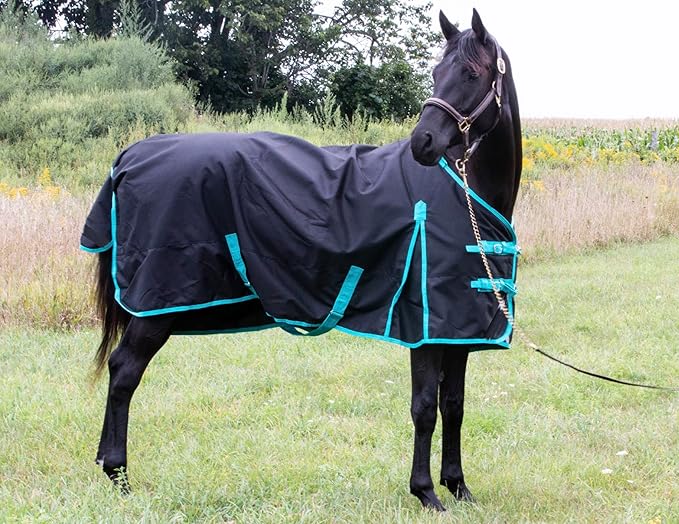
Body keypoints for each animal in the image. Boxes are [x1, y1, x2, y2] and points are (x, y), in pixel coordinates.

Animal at [83, 9, 521, 512]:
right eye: (434, 73)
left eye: (470, 74)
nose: (422, 143)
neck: (463, 191)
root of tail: (130, 155)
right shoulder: (426, 329)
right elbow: (425, 407)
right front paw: (426, 492)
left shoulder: (458, 331)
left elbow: (454, 404)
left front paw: (458, 485)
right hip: (155, 306)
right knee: (124, 372)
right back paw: (119, 475)